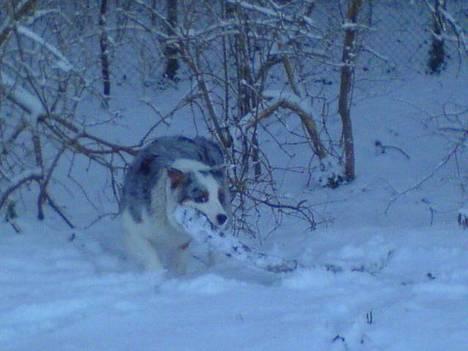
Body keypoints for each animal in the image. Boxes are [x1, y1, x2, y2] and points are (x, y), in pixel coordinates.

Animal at [119, 135, 231, 276]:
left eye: (220, 197)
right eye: (202, 198)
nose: (222, 217)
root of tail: (203, 140)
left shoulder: (182, 242)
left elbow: (180, 263)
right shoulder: (133, 228)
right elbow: (151, 257)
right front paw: (158, 275)